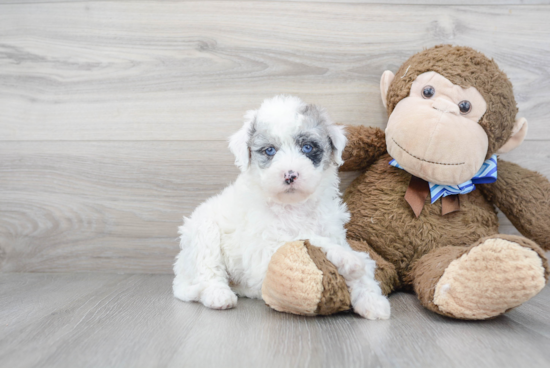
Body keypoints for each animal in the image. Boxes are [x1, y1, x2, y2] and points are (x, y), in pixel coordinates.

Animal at [174, 96, 392, 320]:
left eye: (307, 147)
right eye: (270, 150)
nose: (290, 175)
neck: (294, 205)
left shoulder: (332, 230)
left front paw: (372, 300)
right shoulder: (266, 247)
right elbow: (307, 238)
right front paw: (349, 259)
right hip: (203, 232)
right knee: (207, 271)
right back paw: (218, 295)